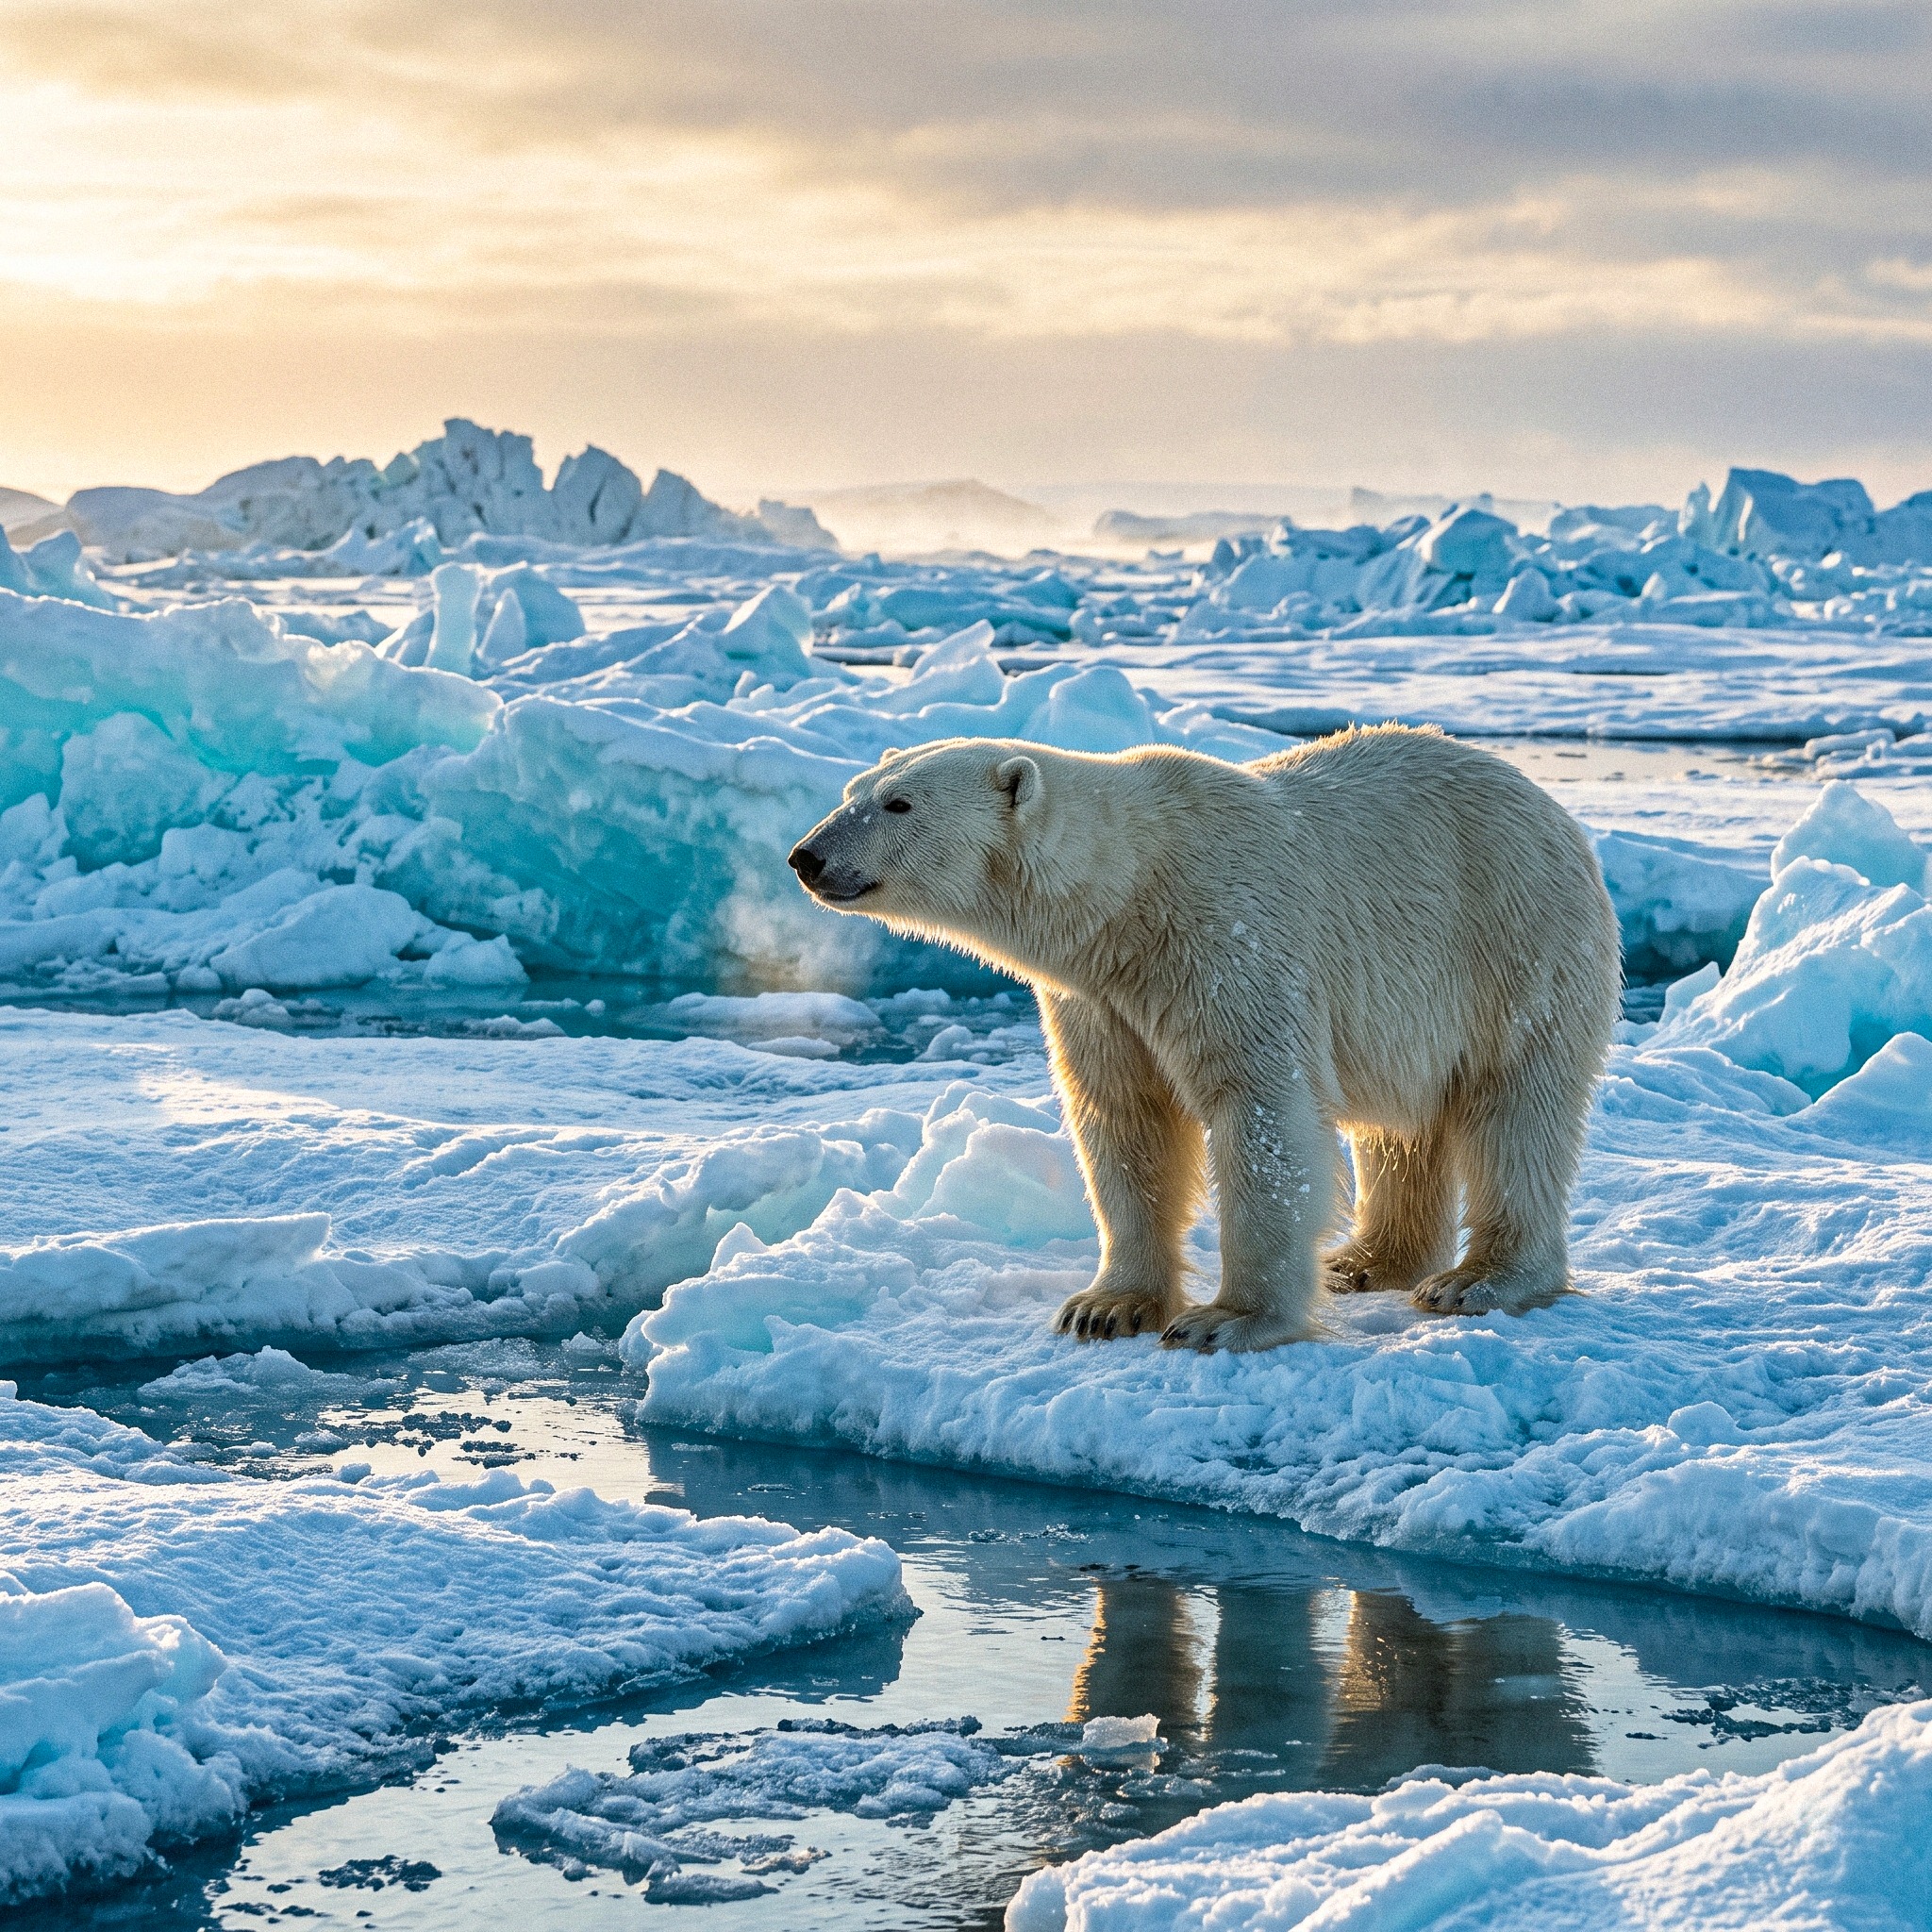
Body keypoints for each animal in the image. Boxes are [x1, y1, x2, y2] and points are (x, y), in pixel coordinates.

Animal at [787, 725, 1621, 1351]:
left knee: (1515, 1113)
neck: (1127, 894)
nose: (805, 856)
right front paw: (1103, 1306)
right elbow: (1125, 1120)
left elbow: (1260, 1111)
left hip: (1513, 946)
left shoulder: (1224, 941)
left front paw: (1225, 1320)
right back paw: (1363, 1261)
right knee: (1400, 1132)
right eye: (851, 792)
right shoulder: (1100, 998)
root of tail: (1557, 816)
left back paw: (1478, 1279)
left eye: (898, 803)